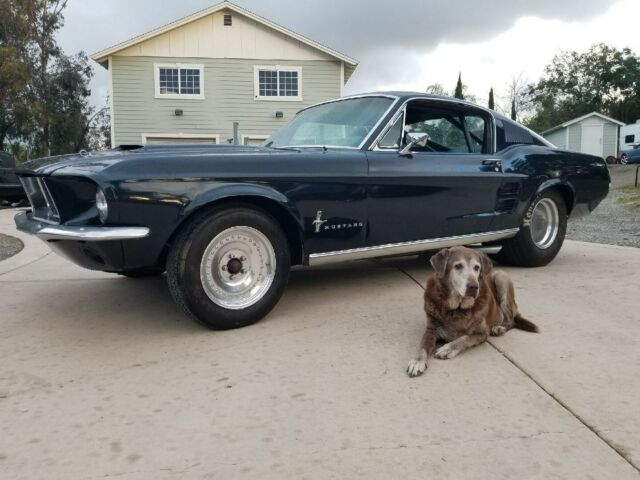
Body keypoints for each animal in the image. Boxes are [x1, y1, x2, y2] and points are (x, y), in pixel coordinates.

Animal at [408, 246, 536, 376]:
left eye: (476, 267)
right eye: (458, 266)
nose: (474, 286)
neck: (457, 308)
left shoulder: (482, 333)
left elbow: (464, 338)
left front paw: (447, 349)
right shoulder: (431, 330)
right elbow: (423, 346)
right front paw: (417, 361)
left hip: (501, 277)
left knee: (511, 319)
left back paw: (499, 328)